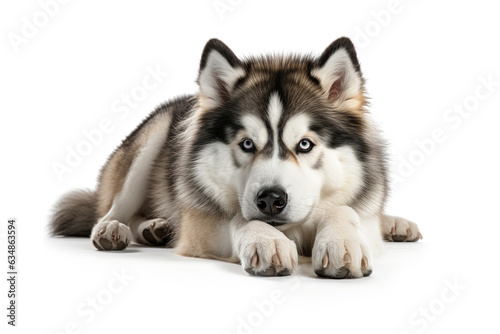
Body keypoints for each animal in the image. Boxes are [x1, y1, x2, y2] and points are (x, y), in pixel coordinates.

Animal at [51, 36, 422, 278]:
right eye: (246, 144)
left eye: (304, 145)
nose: (270, 199)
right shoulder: (199, 228)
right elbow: (237, 217)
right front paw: (265, 240)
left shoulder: (361, 216)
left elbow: (346, 210)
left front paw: (340, 240)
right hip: (151, 138)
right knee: (112, 208)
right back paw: (116, 228)